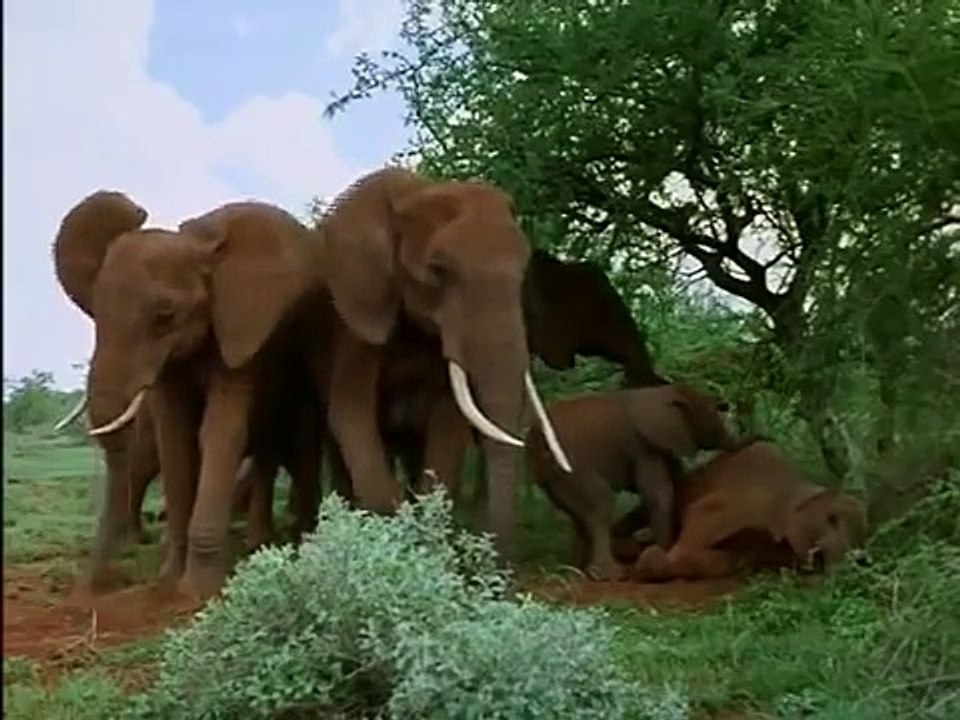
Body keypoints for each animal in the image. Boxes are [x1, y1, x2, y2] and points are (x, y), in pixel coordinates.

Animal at [52, 190, 330, 599]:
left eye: (165, 316)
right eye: (96, 314)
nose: (91, 591)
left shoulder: (241, 329)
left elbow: (220, 431)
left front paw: (197, 592)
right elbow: (175, 436)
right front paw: (168, 581)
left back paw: (267, 543)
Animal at [317, 166, 570, 559]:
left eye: (524, 271)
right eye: (439, 270)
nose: (503, 566)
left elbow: (448, 423)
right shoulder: (355, 315)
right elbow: (351, 412)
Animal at [524, 384, 752, 581]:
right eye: (710, 417)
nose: (753, 438)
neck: (661, 391)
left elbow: (674, 485)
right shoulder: (642, 446)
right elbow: (657, 493)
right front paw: (662, 549)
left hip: (554, 476)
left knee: (577, 514)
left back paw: (578, 567)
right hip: (568, 466)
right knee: (601, 503)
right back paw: (608, 575)